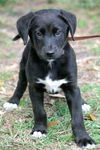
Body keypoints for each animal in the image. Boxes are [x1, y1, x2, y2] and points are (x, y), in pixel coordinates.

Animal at [3, 9, 95, 149]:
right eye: (38, 34)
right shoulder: (34, 88)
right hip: (23, 68)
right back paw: (13, 101)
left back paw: (83, 103)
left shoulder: (72, 87)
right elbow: (39, 111)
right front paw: (39, 130)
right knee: (20, 84)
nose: (49, 53)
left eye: (58, 32)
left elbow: (77, 116)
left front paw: (84, 138)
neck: (51, 63)